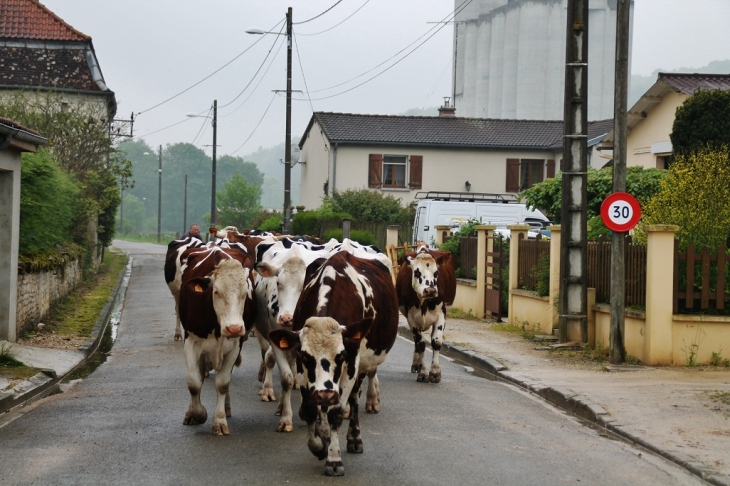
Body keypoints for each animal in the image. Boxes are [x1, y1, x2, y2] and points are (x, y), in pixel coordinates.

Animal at [176, 245, 256, 434]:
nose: (234, 328)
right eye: (216, 292)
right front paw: (198, 414)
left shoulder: (235, 346)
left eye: (245, 294)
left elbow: (222, 383)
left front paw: (219, 420)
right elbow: (194, 382)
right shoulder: (191, 343)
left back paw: (226, 407)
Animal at [268, 251, 396, 474]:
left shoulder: (352, 363)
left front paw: (334, 459)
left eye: (341, 355)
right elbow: (310, 410)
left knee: (353, 399)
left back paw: (354, 438)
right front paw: (319, 445)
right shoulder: (302, 369)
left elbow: (336, 412)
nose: (324, 394)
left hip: (361, 368)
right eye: (305, 356)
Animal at [396, 247, 452, 384]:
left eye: (436, 273)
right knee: (417, 342)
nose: (430, 290)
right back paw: (417, 364)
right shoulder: (411, 318)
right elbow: (420, 344)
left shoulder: (441, 314)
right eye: (417, 272)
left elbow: (436, 341)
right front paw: (423, 372)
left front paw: (435, 372)